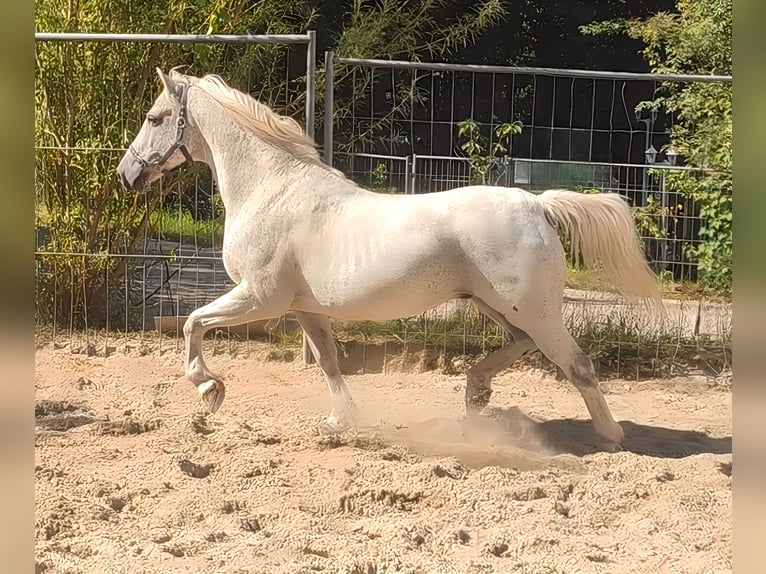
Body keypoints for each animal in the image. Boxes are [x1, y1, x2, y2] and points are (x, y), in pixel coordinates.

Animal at [118, 68, 661, 448]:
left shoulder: (260, 298)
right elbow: (329, 361)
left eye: (154, 118)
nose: (127, 174)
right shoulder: (304, 308)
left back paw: (611, 436)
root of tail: (537, 203)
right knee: (522, 345)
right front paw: (340, 420)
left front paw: (209, 389)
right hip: (497, 306)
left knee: (577, 364)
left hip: (536, 311)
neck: (272, 191)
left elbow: (193, 322)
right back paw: (476, 393)